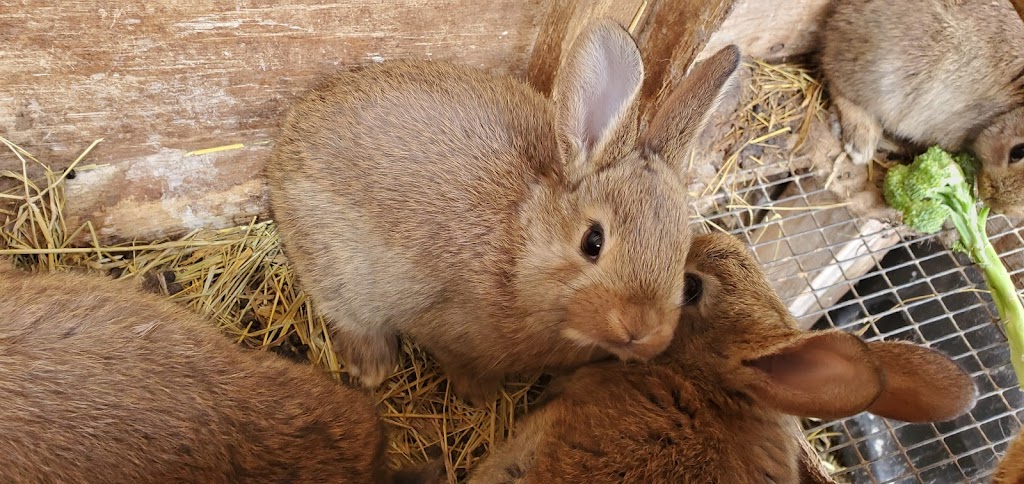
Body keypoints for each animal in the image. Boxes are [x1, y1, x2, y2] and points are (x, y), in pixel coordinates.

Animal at [268, 18, 741, 401]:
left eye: (682, 261)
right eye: (593, 241)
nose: (641, 330)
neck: (521, 249)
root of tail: (287, 142)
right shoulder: (445, 329)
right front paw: (481, 397)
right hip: (336, 267)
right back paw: (373, 367)